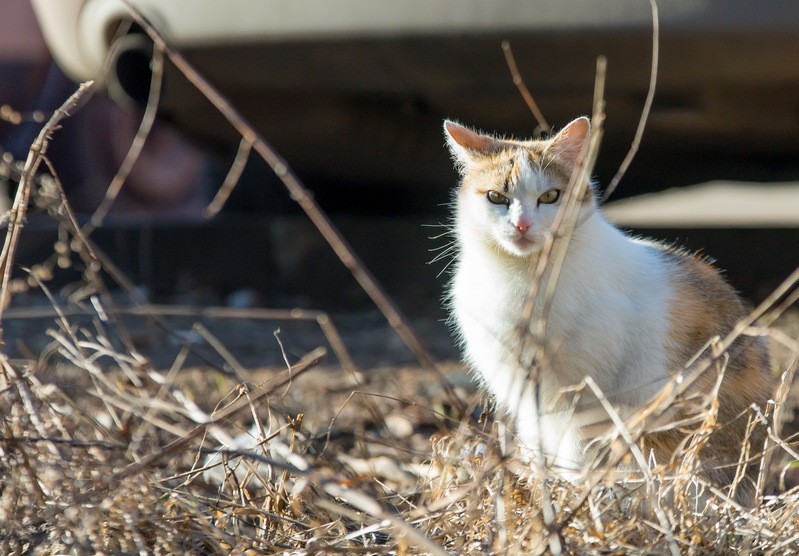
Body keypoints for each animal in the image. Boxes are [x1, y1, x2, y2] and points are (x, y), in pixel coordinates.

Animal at [444, 116, 776, 504]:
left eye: (550, 196)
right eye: (497, 197)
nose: (522, 225)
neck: (526, 277)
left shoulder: (582, 397)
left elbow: (575, 449)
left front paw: (573, 496)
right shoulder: (527, 396)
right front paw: (544, 488)